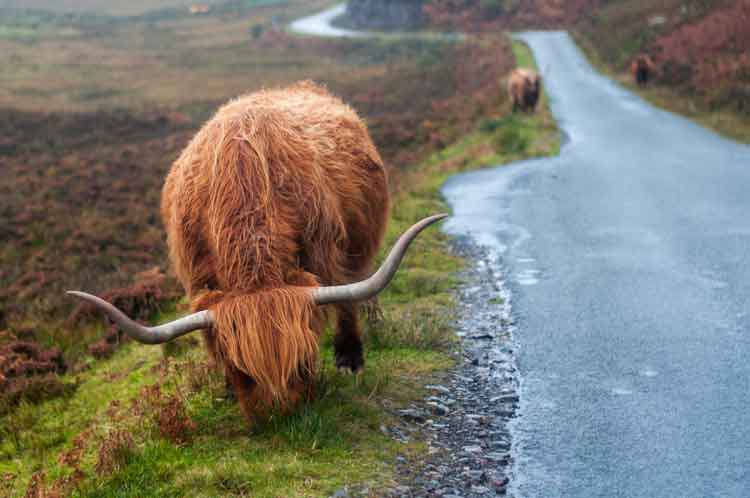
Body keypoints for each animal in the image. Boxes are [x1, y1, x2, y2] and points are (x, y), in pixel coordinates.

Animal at [67, 82, 444, 424]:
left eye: (301, 362)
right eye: (240, 369)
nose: (276, 414)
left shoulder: (325, 251)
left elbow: (342, 299)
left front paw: (348, 360)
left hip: (358, 248)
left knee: (352, 292)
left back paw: (351, 357)